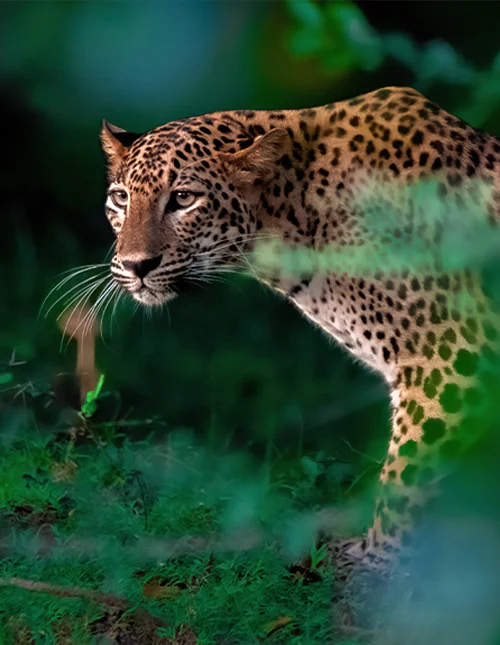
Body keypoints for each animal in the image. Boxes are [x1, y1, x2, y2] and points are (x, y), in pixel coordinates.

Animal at [99, 86, 500, 575]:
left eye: (183, 199)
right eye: (121, 199)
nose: (135, 265)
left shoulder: (451, 358)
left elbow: (405, 477)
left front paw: (378, 563)